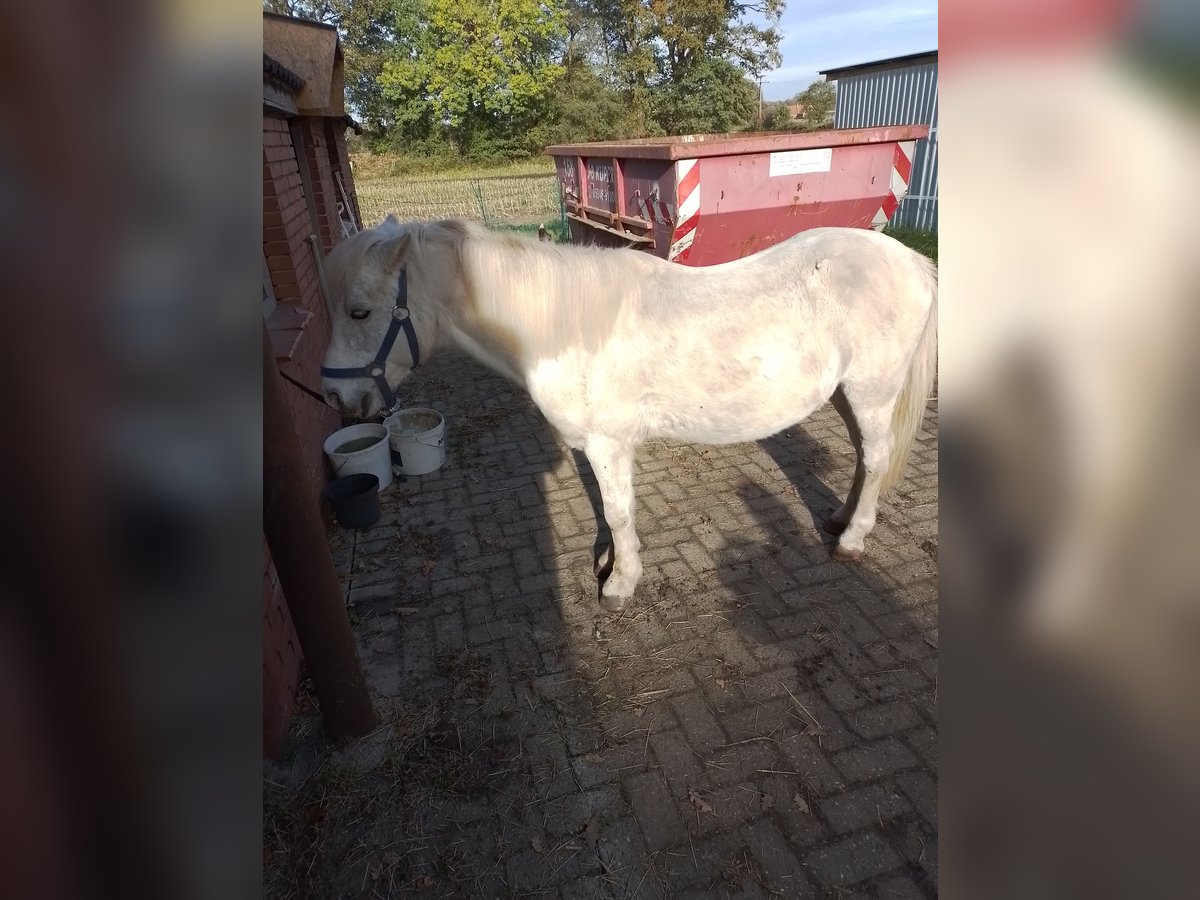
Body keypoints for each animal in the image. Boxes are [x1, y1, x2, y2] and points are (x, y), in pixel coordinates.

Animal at [321, 219, 936, 614]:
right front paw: (611, 564)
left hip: (873, 391)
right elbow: (610, 511)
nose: (336, 397)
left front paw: (619, 585)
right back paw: (838, 519)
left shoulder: (607, 444)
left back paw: (852, 539)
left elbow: (617, 513)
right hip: (847, 394)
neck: (565, 326)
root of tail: (911, 261)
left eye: (360, 311)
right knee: (863, 458)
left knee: (877, 459)